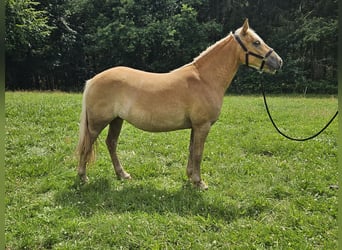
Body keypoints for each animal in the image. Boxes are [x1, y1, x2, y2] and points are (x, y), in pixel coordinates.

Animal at [77, 18, 284, 188]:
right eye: (256, 42)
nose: (279, 62)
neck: (204, 79)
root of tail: (93, 80)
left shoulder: (195, 127)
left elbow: (192, 151)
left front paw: (191, 177)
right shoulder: (202, 126)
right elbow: (198, 153)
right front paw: (199, 183)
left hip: (116, 120)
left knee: (111, 143)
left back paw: (122, 175)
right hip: (97, 123)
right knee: (88, 145)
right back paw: (83, 177)